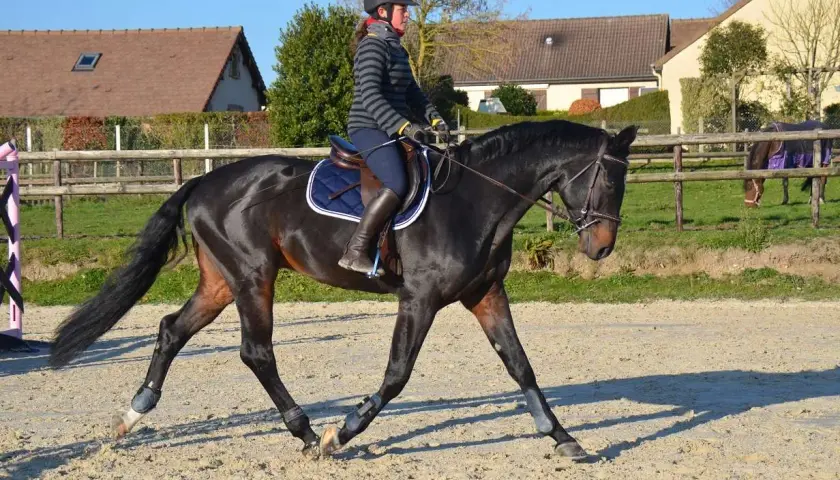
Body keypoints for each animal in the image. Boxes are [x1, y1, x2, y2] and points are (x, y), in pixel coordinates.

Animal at [46, 120, 638, 461]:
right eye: (609, 179)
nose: (603, 247)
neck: (474, 200)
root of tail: (204, 180)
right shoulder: (419, 300)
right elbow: (397, 376)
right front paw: (343, 433)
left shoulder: (486, 294)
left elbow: (521, 367)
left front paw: (563, 438)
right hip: (253, 277)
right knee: (256, 352)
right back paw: (307, 433)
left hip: (220, 282)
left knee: (172, 330)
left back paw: (132, 415)